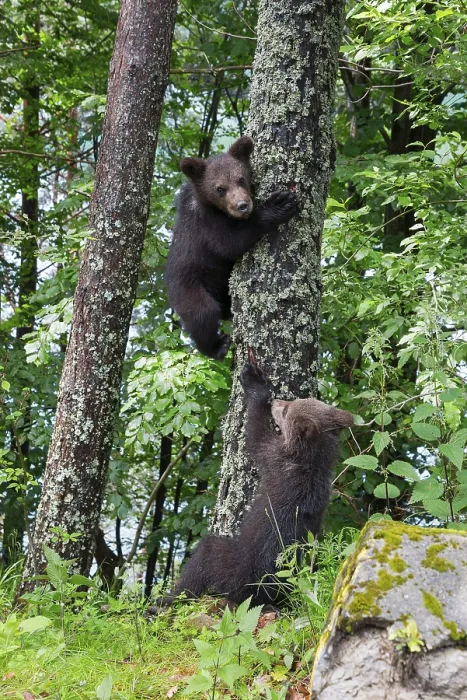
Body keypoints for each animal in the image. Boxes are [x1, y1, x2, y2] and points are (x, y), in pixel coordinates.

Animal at [162, 358, 354, 607]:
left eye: (286, 410)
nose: (278, 400)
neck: (311, 460)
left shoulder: (274, 459)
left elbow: (255, 433)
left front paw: (254, 380)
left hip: (235, 569)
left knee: (204, 557)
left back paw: (166, 599)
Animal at [165, 137, 298, 360]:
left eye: (241, 179)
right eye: (220, 188)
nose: (242, 205)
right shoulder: (205, 223)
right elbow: (229, 244)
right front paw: (278, 205)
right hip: (189, 287)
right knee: (203, 314)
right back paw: (216, 346)